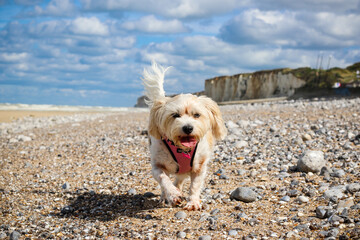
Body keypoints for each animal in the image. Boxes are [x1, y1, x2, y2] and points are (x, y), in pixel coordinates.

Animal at [142, 61, 226, 210]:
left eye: (197, 115)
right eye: (175, 115)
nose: (188, 128)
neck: (182, 148)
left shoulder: (199, 167)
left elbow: (195, 186)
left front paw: (192, 202)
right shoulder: (157, 166)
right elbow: (164, 179)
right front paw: (172, 194)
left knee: (179, 179)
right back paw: (166, 196)